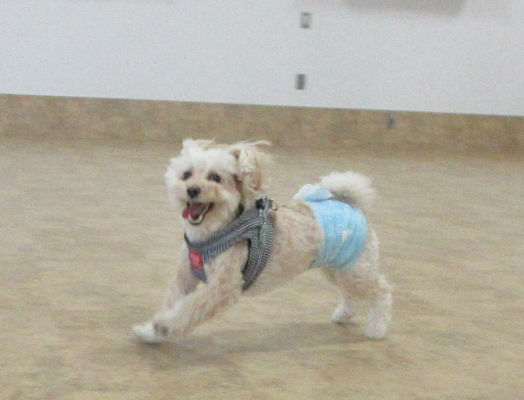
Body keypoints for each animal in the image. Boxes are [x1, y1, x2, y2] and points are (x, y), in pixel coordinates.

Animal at [133, 139, 392, 343]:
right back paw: (344, 314)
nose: (192, 189)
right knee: (349, 293)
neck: (213, 232)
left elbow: (189, 308)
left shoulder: (224, 287)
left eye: (215, 178)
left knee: (381, 291)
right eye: (186, 175)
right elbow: (173, 300)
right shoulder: (185, 277)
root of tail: (351, 203)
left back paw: (376, 328)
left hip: (356, 270)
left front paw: (165, 324)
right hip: (337, 268)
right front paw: (151, 331)